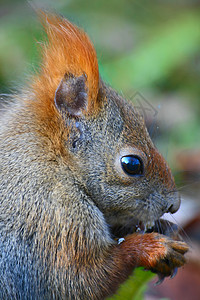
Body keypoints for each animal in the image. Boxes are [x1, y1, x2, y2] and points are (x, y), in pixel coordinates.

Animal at [0, 12, 188, 300]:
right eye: (132, 164)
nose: (173, 205)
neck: (57, 161)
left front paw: (165, 228)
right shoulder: (53, 217)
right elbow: (79, 280)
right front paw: (151, 248)